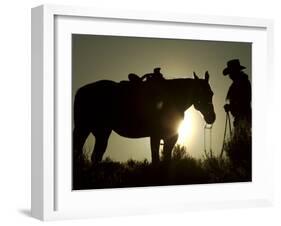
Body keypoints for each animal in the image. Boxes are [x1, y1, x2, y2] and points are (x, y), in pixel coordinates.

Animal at [72, 71, 214, 165]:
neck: (171, 98)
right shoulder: (156, 136)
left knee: (93, 155)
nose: (212, 117)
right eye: (201, 92)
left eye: (211, 93)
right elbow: (156, 160)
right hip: (89, 130)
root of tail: (81, 90)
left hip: (98, 132)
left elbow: (166, 160)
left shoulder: (171, 137)